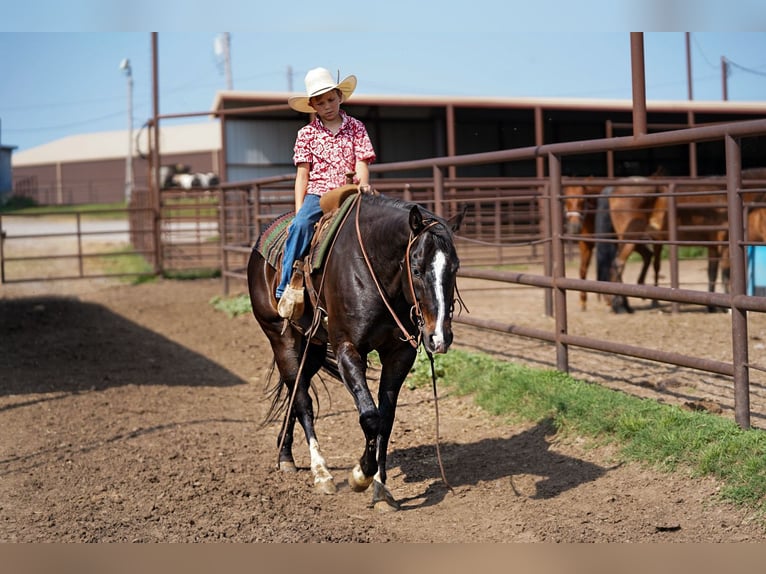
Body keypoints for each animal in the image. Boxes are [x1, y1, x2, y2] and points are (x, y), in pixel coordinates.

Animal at [249, 189, 464, 512]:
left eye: (455, 267)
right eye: (416, 268)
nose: (439, 337)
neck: (374, 268)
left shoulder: (399, 354)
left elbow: (386, 418)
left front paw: (381, 489)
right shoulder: (347, 349)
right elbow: (370, 417)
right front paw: (360, 475)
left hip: (312, 346)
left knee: (295, 389)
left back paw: (286, 456)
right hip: (280, 336)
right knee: (303, 402)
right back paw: (321, 473)